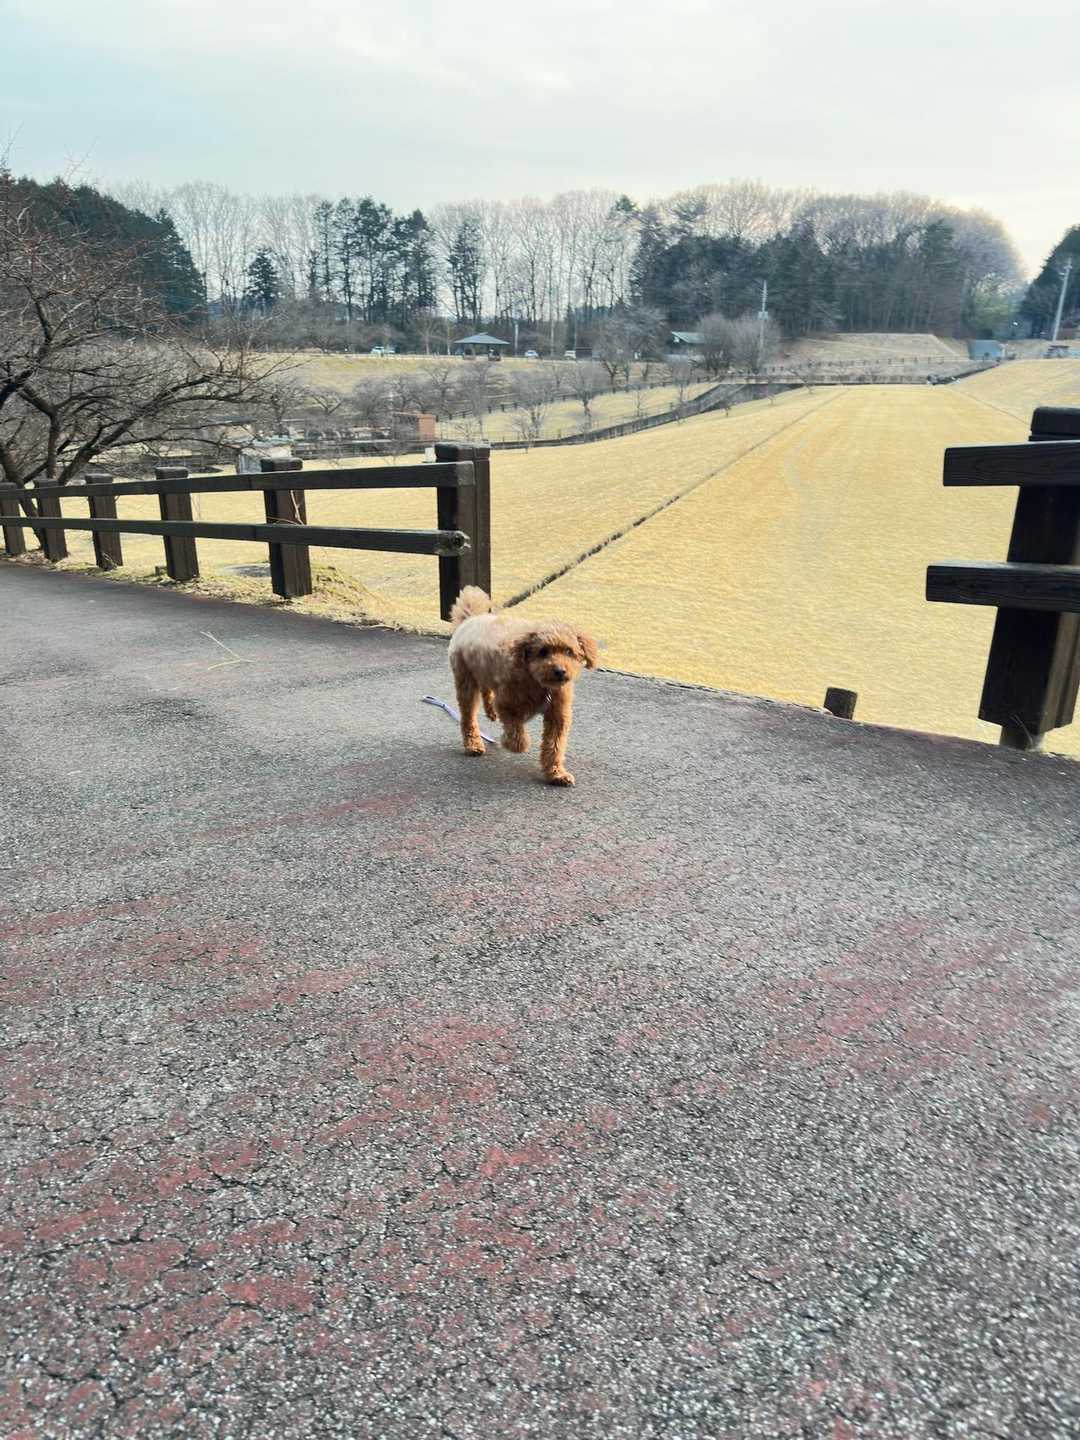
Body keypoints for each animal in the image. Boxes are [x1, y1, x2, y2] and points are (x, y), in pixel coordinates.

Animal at [448, 586, 597, 786]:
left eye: (568, 651)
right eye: (543, 652)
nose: (559, 671)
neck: (539, 683)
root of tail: (470, 619)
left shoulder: (558, 714)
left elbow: (554, 745)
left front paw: (556, 773)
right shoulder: (507, 704)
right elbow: (516, 735)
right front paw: (510, 742)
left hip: (483, 672)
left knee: (486, 691)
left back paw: (490, 712)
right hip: (466, 680)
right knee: (468, 717)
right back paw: (473, 744)